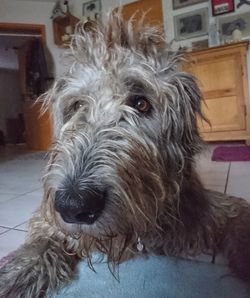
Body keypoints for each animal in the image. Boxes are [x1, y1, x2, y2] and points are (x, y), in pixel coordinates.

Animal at [0, 12, 250, 298]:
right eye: (76, 105)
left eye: (141, 103)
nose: (74, 205)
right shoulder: (50, 215)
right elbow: (43, 236)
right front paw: (15, 273)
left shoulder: (200, 208)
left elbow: (238, 215)